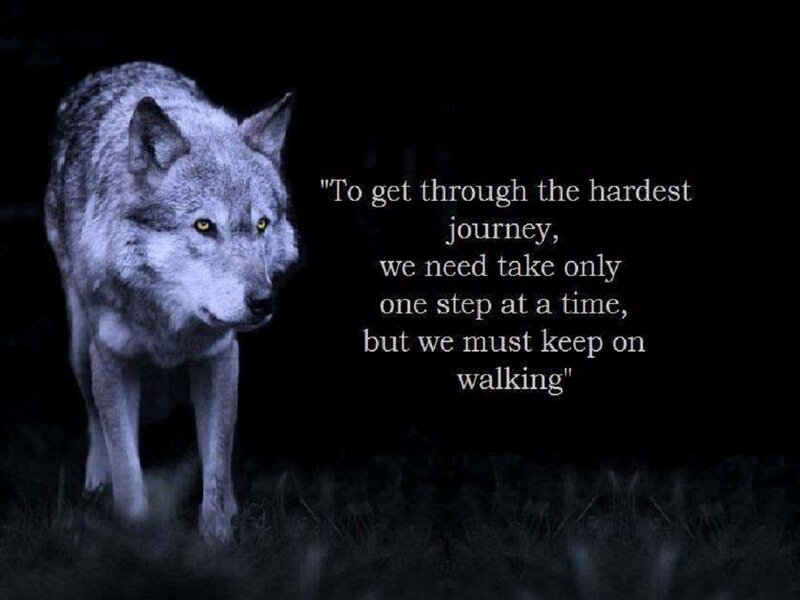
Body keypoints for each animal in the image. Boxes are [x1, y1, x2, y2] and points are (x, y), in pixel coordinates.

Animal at [44, 62, 298, 541]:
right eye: (204, 226)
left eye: (261, 224)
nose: (263, 302)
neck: (167, 325)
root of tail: (126, 66)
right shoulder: (112, 358)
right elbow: (128, 468)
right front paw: (136, 536)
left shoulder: (221, 356)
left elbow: (216, 461)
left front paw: (217, 535)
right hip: (79, 348)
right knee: (94, 419)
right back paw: (96, 479)